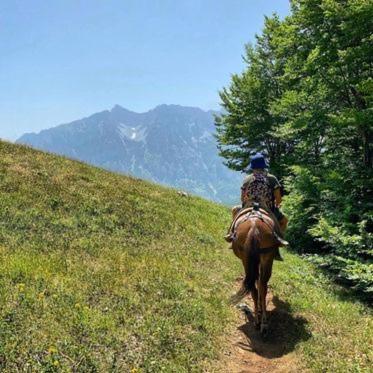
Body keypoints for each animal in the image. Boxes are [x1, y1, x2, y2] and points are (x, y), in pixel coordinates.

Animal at [230, 206, 280, 334]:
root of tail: (254, 227)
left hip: (247, 259)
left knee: (254, 287)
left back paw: (257, 321)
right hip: (266, 257)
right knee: (262, 285)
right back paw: (263, 322)